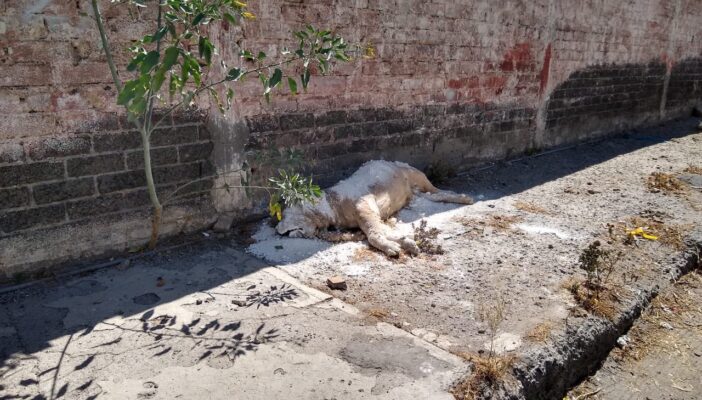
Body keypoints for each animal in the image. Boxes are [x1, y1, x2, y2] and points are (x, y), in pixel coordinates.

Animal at [275, 160, 473, 256]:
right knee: (433, 196)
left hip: (415, 174)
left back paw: (463, 197)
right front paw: (403, 242)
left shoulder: (365, 206)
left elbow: (374, 233)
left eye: (286, 213)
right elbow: (381, 231)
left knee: (437, 190)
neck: (332, 203)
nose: (277, 229)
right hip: (415, 193)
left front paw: (393, 245)